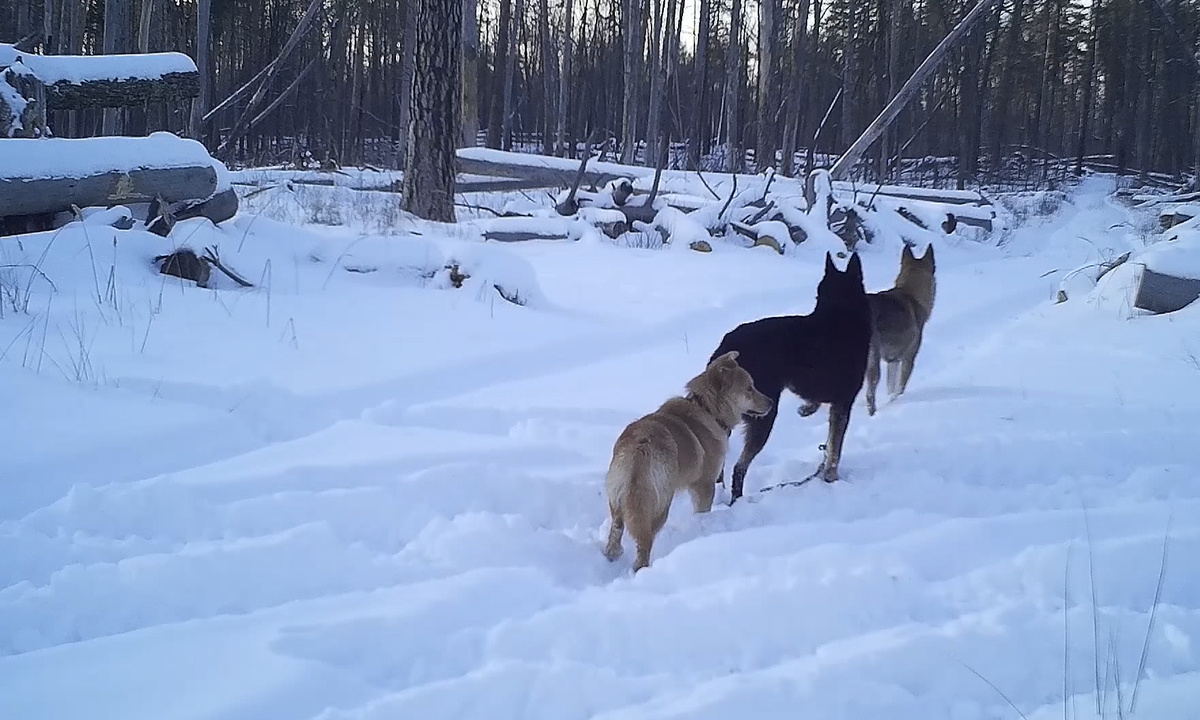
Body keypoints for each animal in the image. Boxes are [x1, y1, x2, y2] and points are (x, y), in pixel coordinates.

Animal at [604, 350, 772, 571]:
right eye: (749, 388)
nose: (771, 402)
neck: (707, 409)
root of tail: (637, 450)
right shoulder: (704, 485)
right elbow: (702, 511)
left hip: (617, 502)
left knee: (616, 532)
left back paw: (613, 555)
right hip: (660, 506)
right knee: (644, 544)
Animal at [710, 250, 873, 504]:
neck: (840, 312)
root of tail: (728, 347)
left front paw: (805, 410)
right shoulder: (843, 403)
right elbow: (834, 450)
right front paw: (831, 478)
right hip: (763, 415)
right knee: (739, 467)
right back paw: (736, 499)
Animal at [864, 244, 936, 415]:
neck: (911, 295)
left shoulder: (893, 360)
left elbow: (891, 387)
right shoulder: (908, 358)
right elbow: (898, 389)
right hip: (873, 361)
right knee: (870, 394)